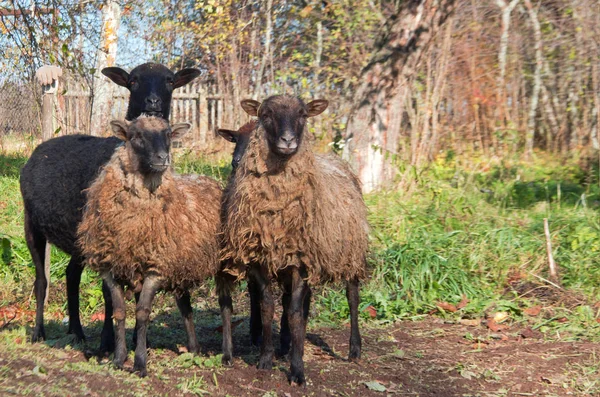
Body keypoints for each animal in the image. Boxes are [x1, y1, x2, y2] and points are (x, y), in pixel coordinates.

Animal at [19, 62, 200, 350]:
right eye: (133, 81)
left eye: (170, 81)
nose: (152, 102)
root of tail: (39, 150)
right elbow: (108, 293)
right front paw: (108, 343)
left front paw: (139, 340)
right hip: (32, 225)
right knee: (41, 281)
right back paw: (39, 332)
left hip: (79, 239)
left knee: (71, 274)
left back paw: (77, 331)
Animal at [77, 115, 223, 378]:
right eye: (136, 136)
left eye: (168, 135)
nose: (163, 158)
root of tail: (211, 180)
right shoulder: (110, 268)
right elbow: (119, 311)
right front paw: (119, 358)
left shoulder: (156, 267)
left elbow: (142, 313)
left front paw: (140, 363)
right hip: (178, 265)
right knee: (185, 306)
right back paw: (193, 348)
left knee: (225, 305)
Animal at [217, 95, 366, 384]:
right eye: (265, 115)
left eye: (303, 114)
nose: (287, 141)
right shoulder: (260, 260)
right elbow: (267, 306)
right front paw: (265, 358)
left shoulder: (301, 262)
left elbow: (295, 313)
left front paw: (297, 369)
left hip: (351, 252)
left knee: (352, 297)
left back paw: (354, 349)